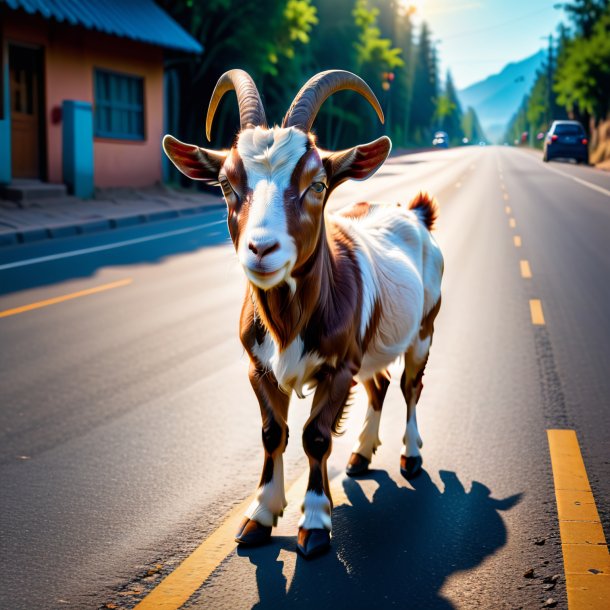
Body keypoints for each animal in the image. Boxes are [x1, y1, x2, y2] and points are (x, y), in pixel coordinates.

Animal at [162, 69, 442, 560]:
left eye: (318, 184)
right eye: (226, 185)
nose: (261, 249)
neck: (287, 322)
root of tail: (416, 213)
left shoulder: (338, 368)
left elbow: (316, 436)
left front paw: (314, 524)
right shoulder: (259, 367)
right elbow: (273, 433)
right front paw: (259, 517)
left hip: (424, 327)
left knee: (411, 386)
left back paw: (410, 457)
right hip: (369, 350)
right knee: (380, 385)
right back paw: (362, 455)